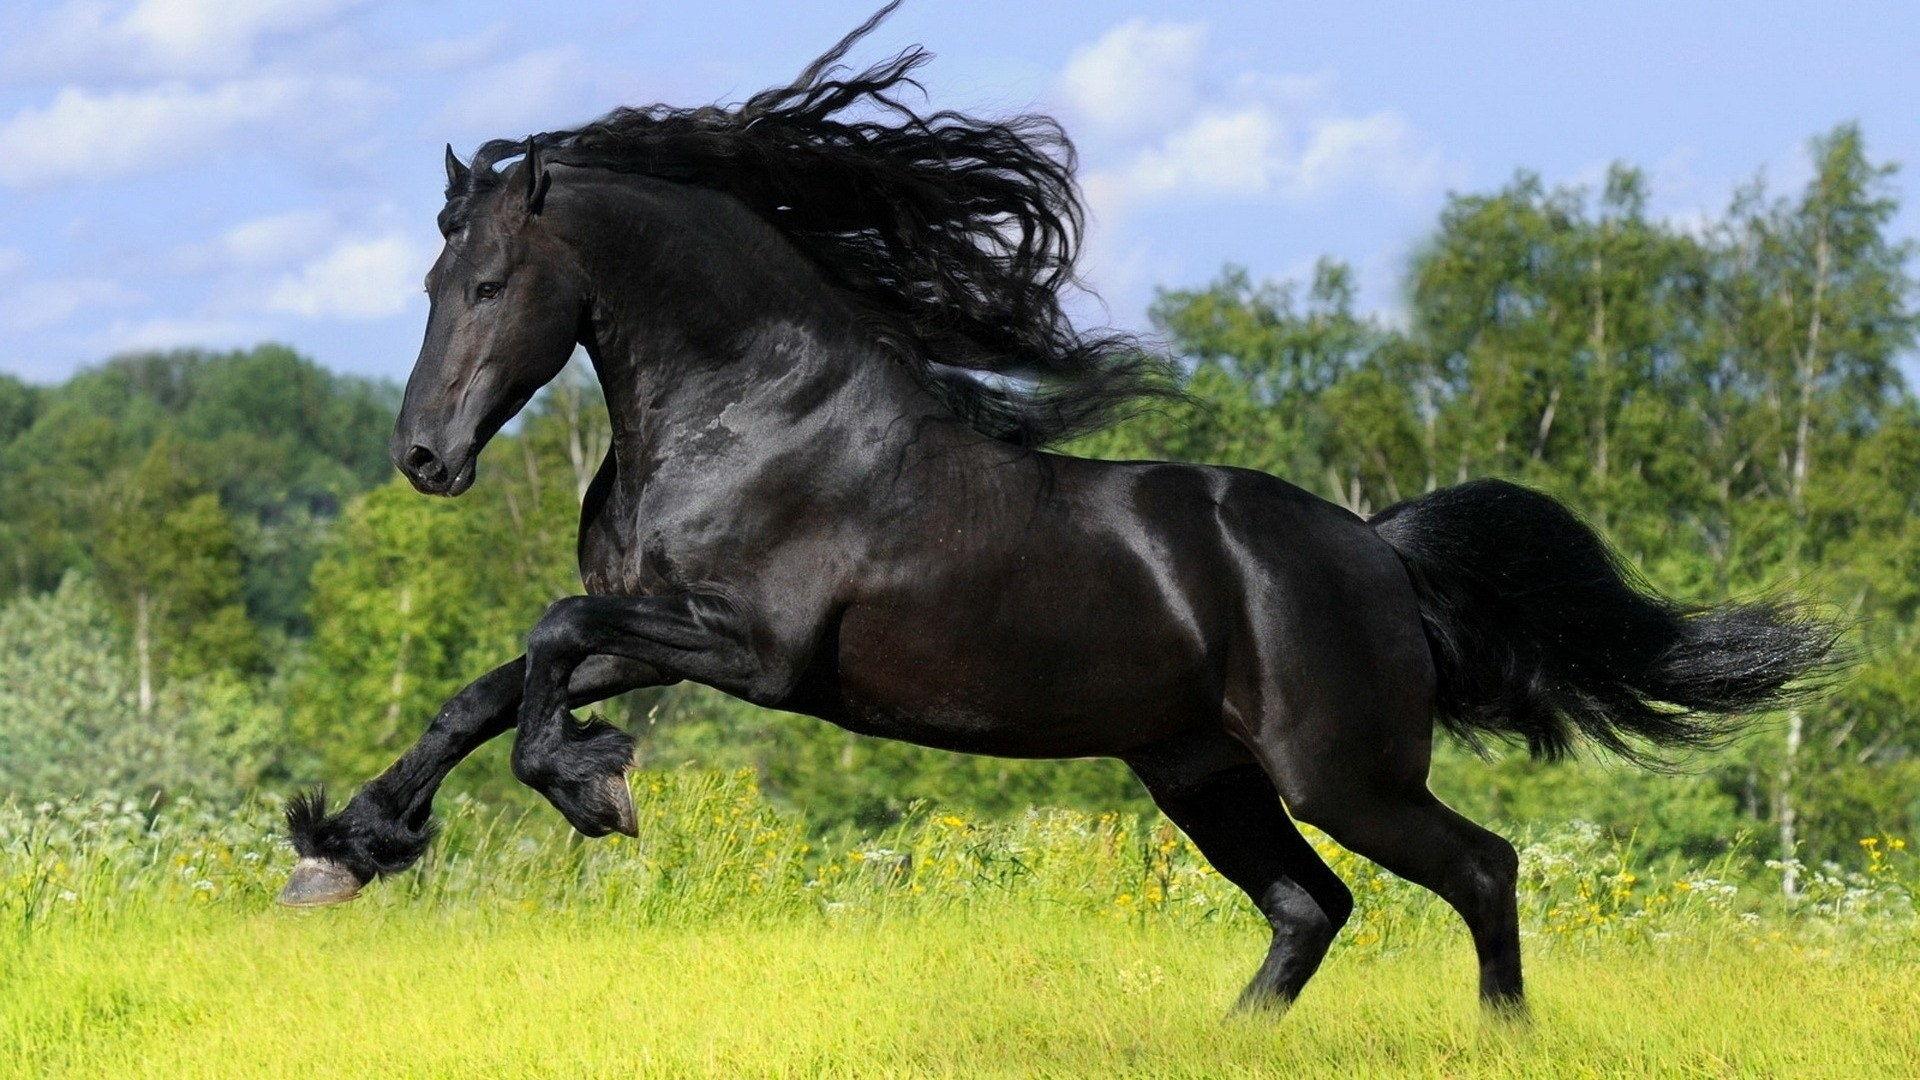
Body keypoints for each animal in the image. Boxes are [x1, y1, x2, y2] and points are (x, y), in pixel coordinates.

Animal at [281, 4, 1841, 1014]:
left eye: (491, 282)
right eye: (430, 281)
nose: (425, 458)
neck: (753, 413)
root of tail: (1378, 551)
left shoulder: (752, 651)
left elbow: (545, 639)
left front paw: (592, 788)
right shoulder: (660, 625)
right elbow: (484, 690)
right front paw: (345, 852)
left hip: (1340, 773)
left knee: (1482, 869)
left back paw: (1498, 1040)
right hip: (1201, 773)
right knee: (1312, 908)